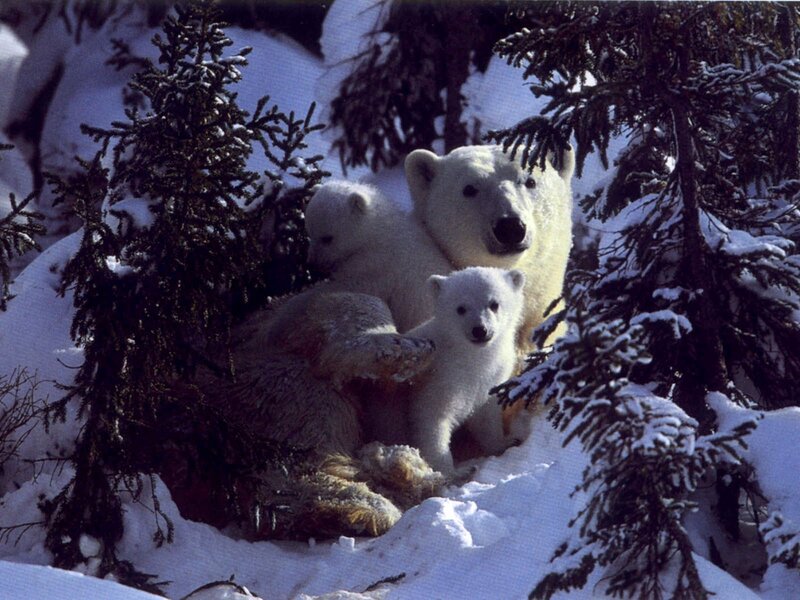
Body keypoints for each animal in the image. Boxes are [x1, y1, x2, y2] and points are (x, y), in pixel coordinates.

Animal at [304, 180, 453, 333]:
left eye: (327, 238)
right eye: (309, 232)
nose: (312, 264)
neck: (377, 234)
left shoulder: (377, 265)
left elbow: (352, 285)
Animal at [398, 267, 526, 475]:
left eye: (494, 304)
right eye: (461, 308)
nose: (480, 330)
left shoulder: (490, 377)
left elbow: (485, 416)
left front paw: (506, 442)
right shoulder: (437, 377)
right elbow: (431, 420)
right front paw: (455, 472)